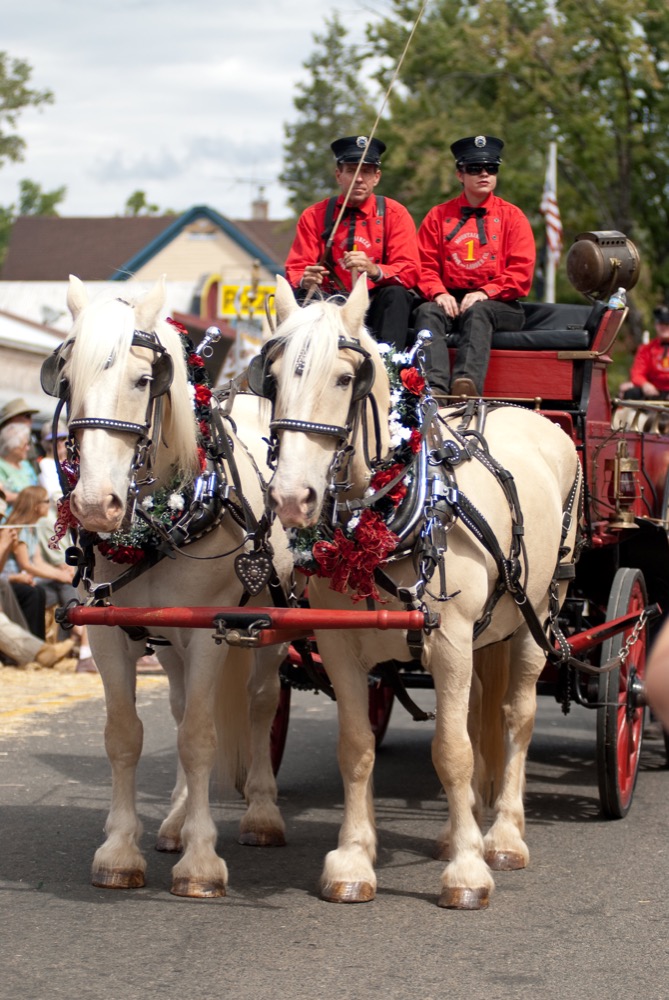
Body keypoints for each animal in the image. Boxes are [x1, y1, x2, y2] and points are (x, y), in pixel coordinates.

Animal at [51, 276, 290, 900]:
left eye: (143, 381)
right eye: (68, 381)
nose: (95, 505)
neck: (163, 522)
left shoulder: (209, 634)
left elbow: (201, 739)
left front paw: (202, 861)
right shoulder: (108, 634)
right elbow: (126, 735)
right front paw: (119, 851)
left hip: (272, 629)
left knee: (260, 703)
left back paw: (261, 814)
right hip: (168, 642)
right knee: (183, 709)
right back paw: (177, 821)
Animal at [260, 278, 580, 912]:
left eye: (344, 378)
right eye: (275, 378)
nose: (290, 498)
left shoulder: (451, 641)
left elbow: (450, 751)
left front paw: (467, 870)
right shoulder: (341, 646)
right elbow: (357, 747)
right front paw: (354, 859)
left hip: (541, 612)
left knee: (517, 716)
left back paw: (503, 835)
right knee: (481, 711)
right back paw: (467, 826)